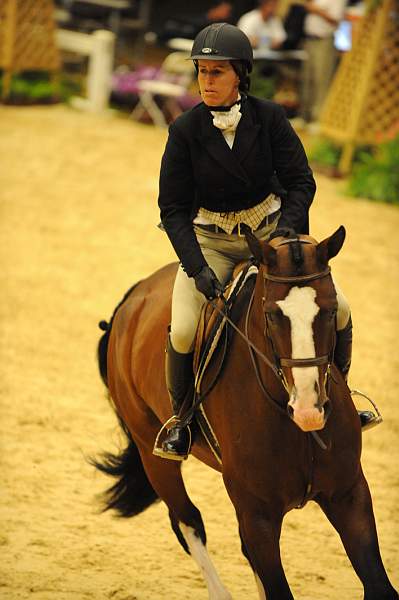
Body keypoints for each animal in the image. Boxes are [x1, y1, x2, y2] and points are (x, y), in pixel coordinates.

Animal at [93, 227, 396, 600]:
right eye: (271, 315)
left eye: (329, 310)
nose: (309, 410)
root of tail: (133, 298)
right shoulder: (258, 515)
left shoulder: (349, 494)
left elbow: (380, 586)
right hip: (153, 453)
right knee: (187, 521)